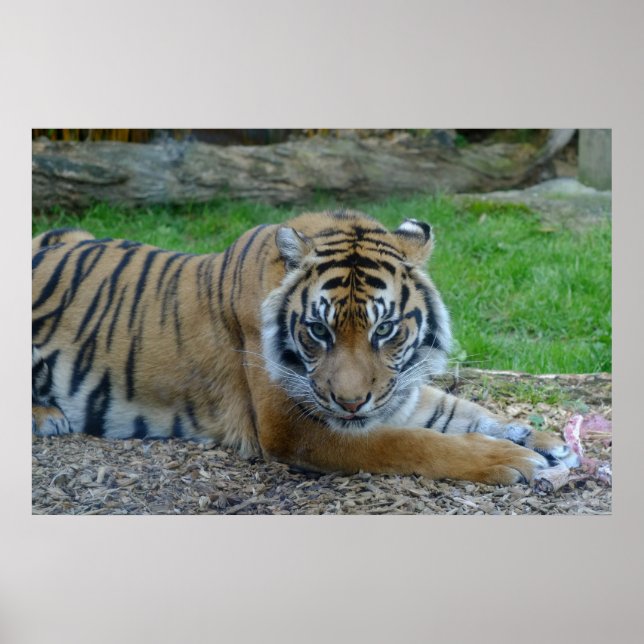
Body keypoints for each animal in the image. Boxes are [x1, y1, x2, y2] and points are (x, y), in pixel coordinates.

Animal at [32, 209, 579, 484]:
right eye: (318, 330)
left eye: (385, 330)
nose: (351, 403)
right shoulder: (292, 428)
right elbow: (412, 441)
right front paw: (512, 461)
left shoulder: (395, 388)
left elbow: (459, 411)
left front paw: (544, 440)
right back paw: (47, 417)